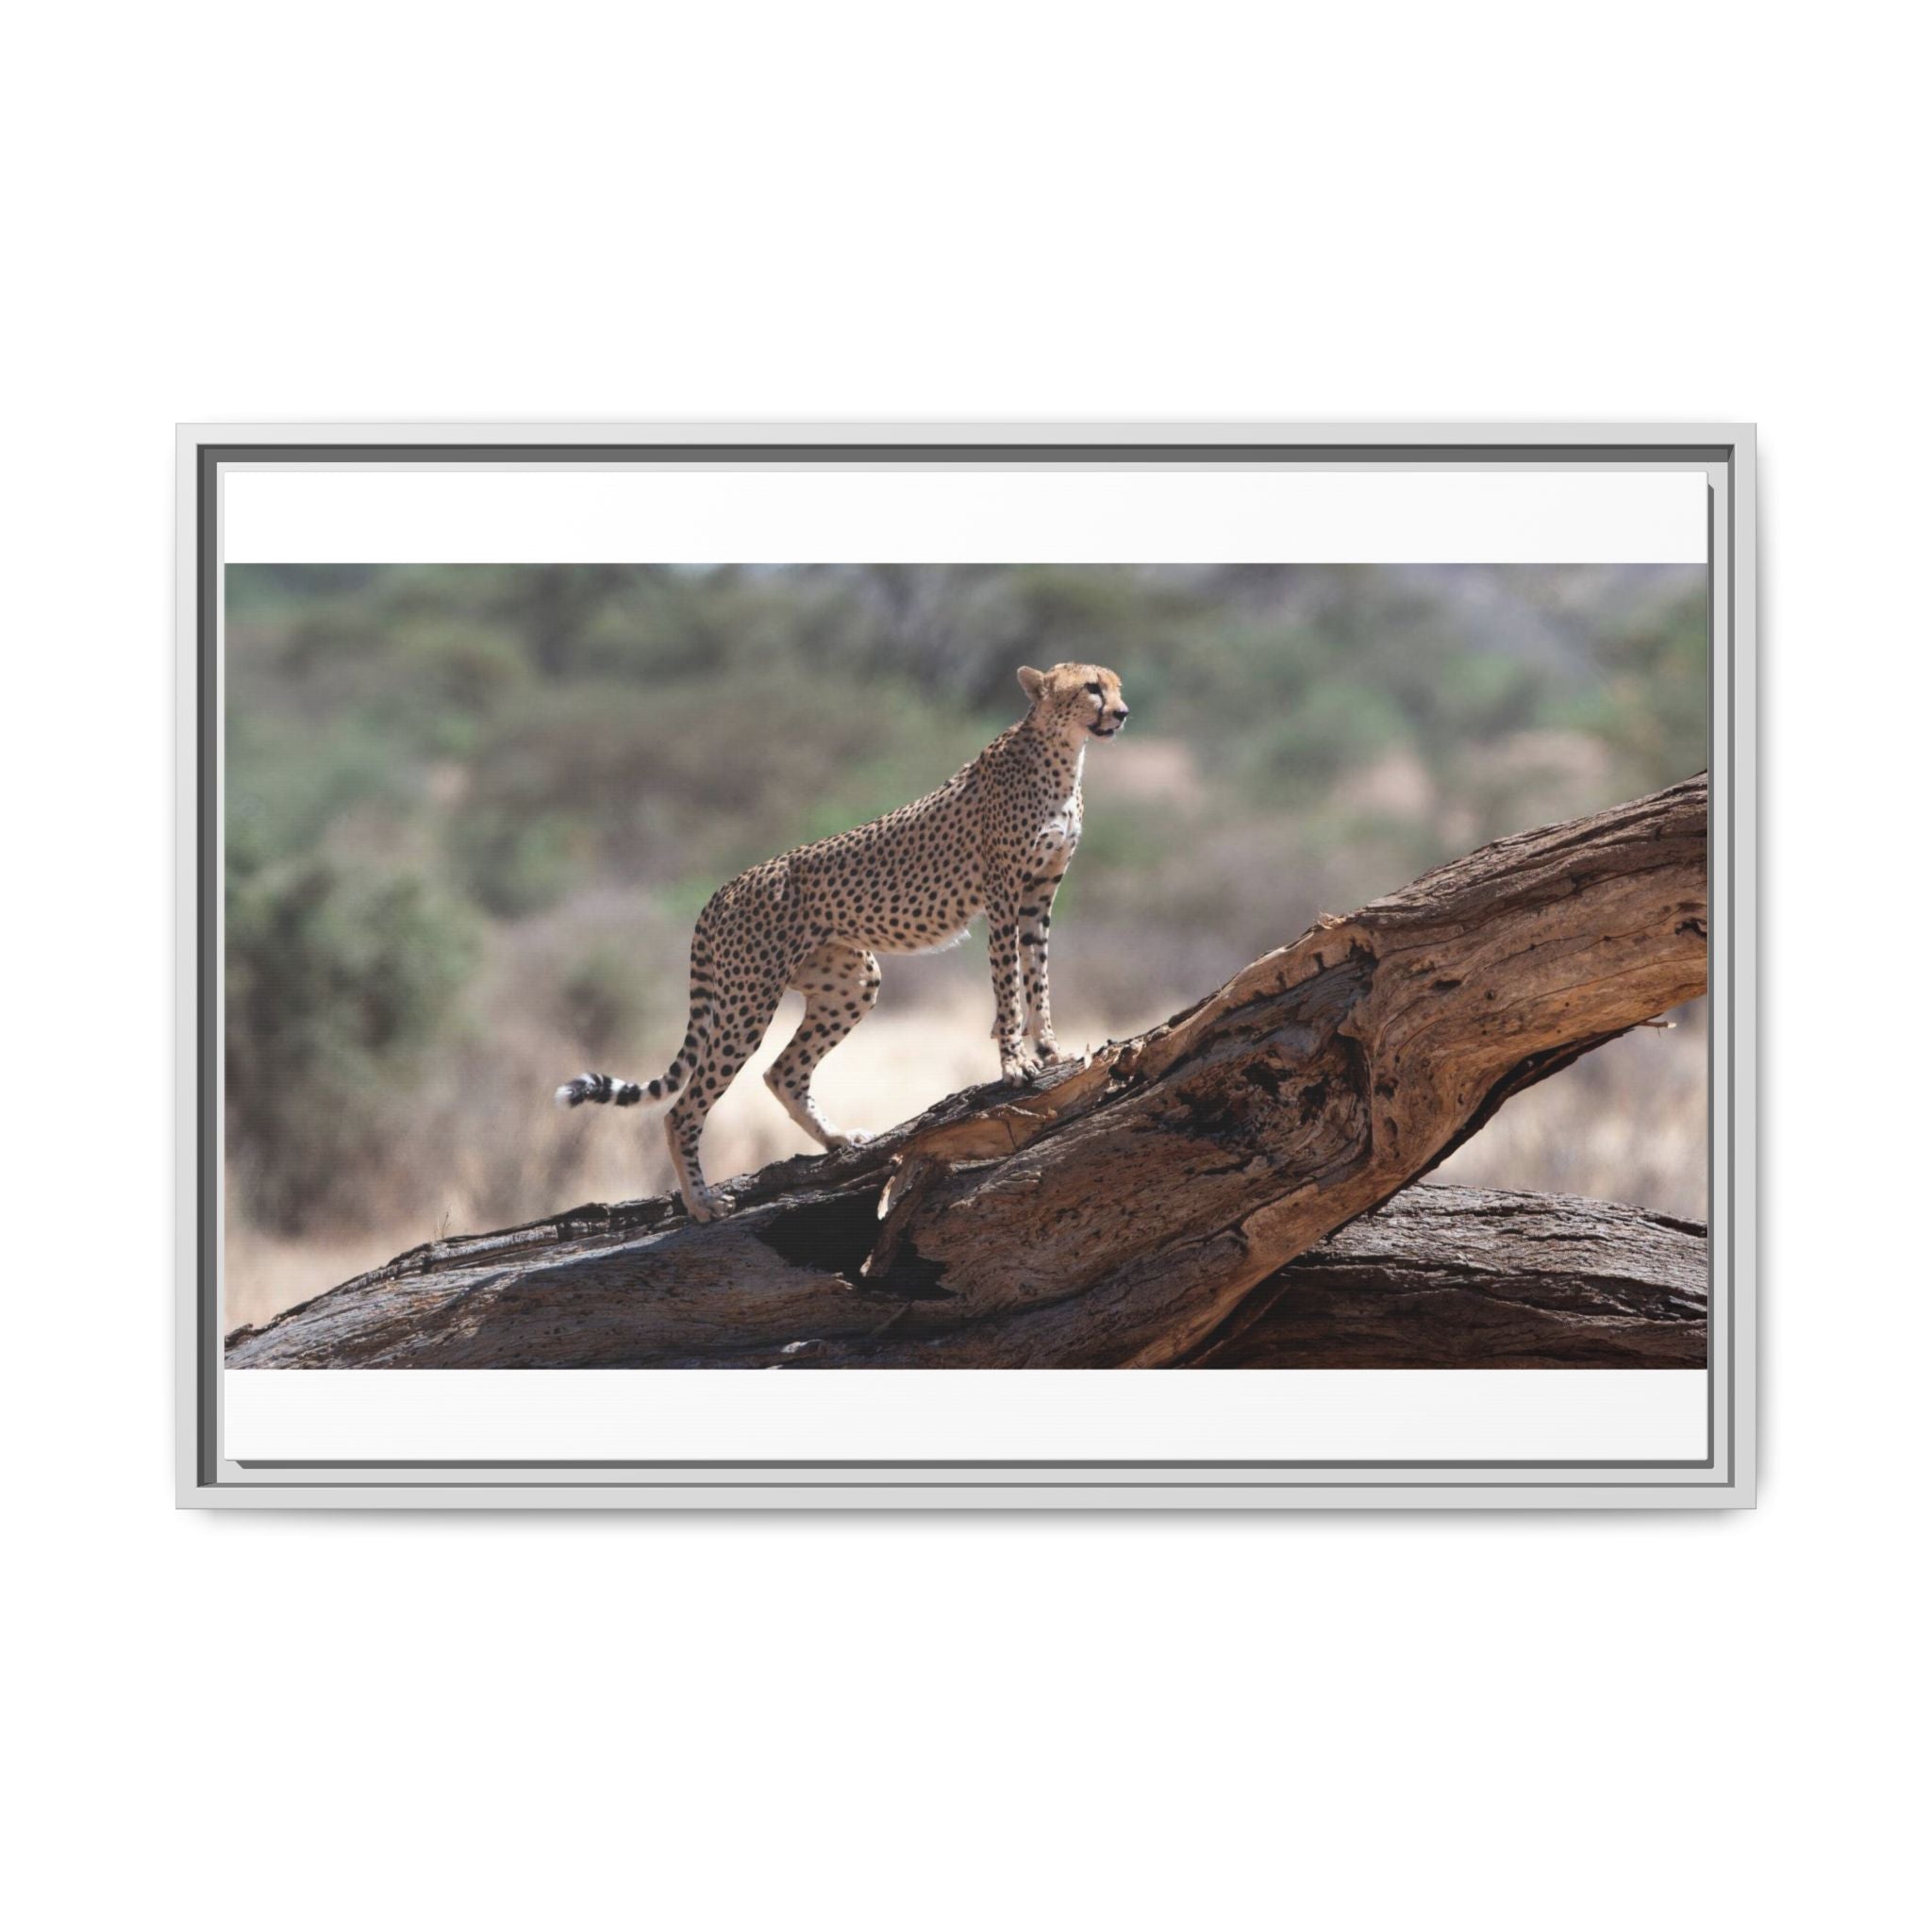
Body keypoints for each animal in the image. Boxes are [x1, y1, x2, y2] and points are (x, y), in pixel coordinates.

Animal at [555, 661, 1131, 1221]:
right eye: (1091, 688)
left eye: (1116, 685)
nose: (1123, 713)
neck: (1063, 754)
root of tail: (723, 889)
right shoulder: (1004, 895)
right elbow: (1008, 984)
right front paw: (1014, 1063)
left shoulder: (1038, 896)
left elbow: (1037, 976)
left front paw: (1050, 1048)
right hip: (748, 1000)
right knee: (683, 1107)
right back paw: (702, 1203)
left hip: (851, 980)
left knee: (782, 1072)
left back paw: (837, 1140)